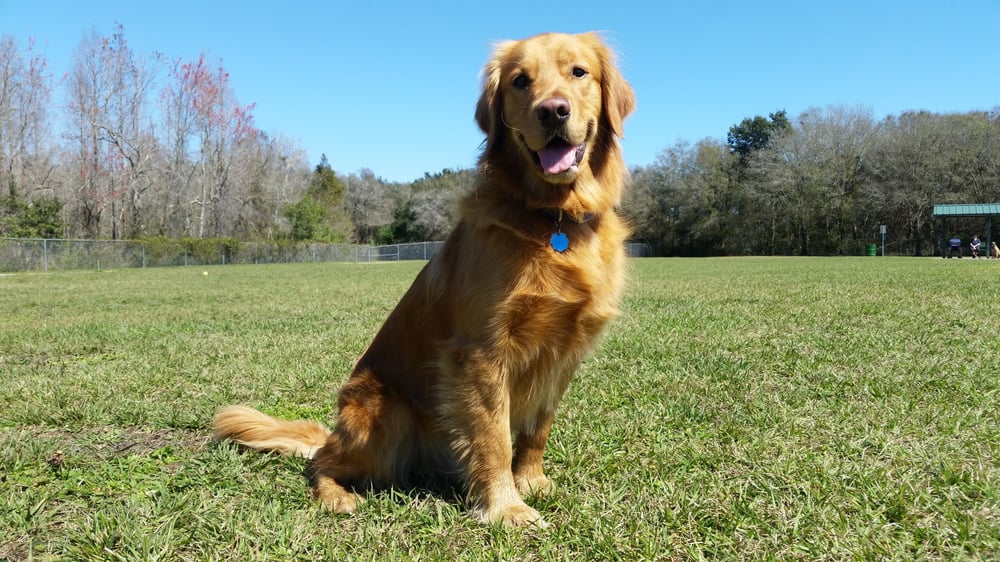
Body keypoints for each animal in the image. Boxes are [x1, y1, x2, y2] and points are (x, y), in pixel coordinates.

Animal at [213, 34, 632, 524]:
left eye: (578, 72)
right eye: (520, 81)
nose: (552, 111)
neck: (552, 219)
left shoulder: (564, 353)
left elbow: (537, 428)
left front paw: (530, 480)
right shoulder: (481, 352)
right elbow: (494, 437)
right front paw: (506, 506)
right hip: (384, 415)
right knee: (321, 462)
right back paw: (336, 495)